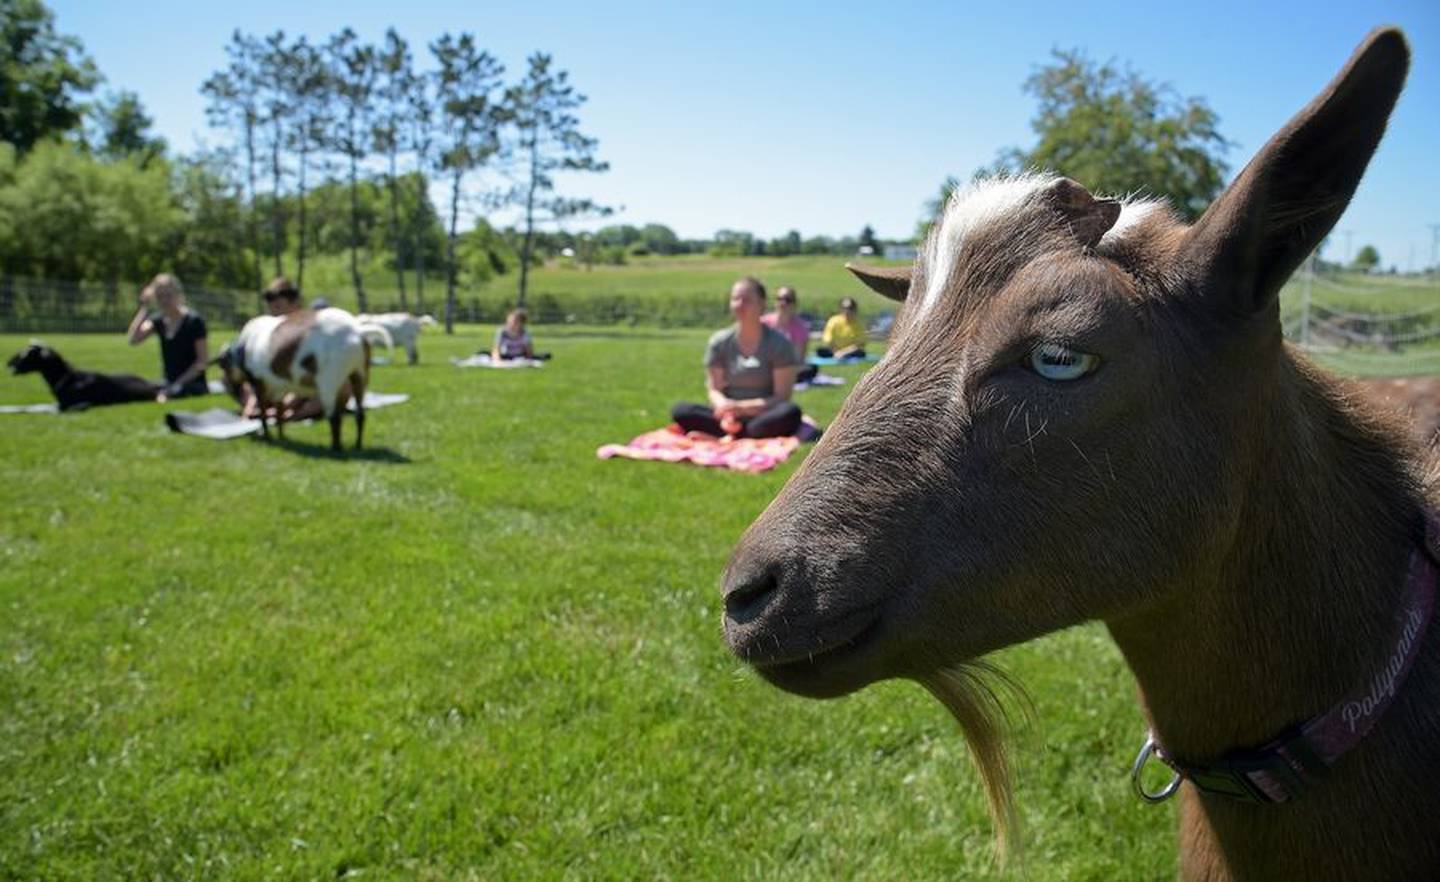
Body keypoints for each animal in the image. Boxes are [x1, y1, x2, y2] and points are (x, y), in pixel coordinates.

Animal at [217, 307, 371, 451]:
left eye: (223, 367)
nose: (232, 389)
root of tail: (358, 331)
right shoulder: (279, 388)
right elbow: (279, 412)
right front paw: (281, 437)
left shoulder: (258, 382)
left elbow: (263, 412)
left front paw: (268, 437)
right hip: (360, 375)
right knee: (360, 414)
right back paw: (357, 446)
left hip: (329, 381)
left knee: (335, 417)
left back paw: (335, 449)